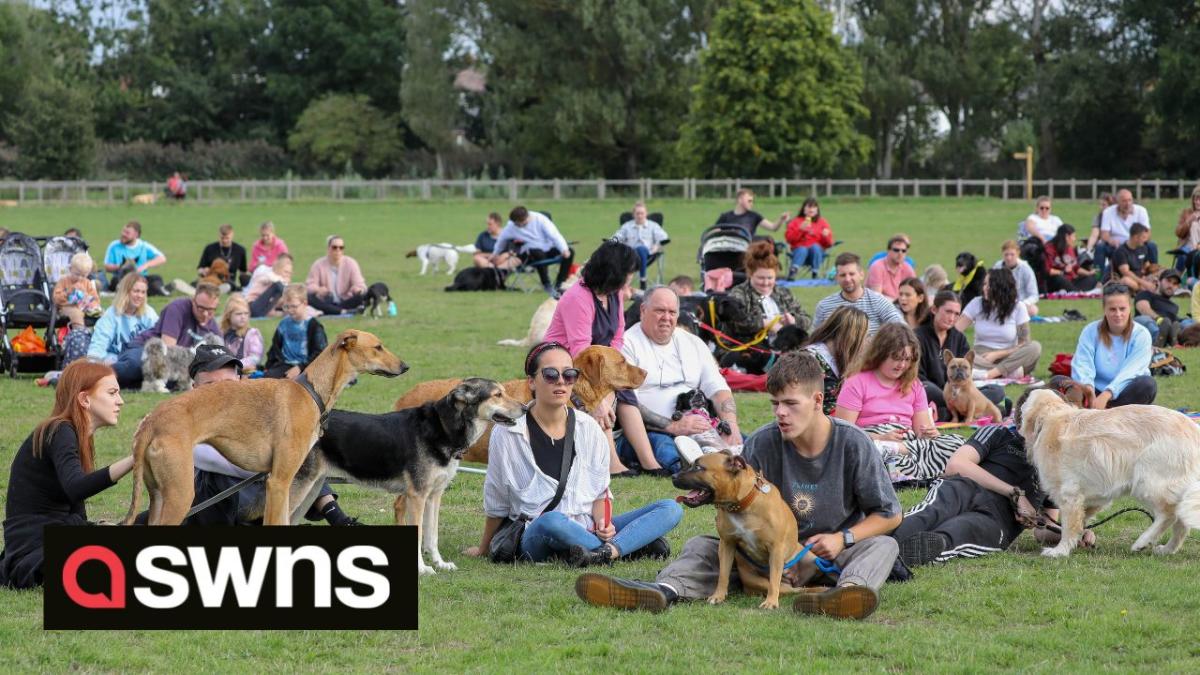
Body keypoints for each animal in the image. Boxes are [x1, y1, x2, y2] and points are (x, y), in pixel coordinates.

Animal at [123, 329, 408, 523]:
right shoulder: (278, 483)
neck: (310, 391)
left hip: (159, 496)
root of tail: (151, 420)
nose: (405, 366)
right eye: (378, 346)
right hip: (180, 495)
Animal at [312, 374, 523, 569]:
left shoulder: (434, 495)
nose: (525, 408)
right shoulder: (418, 496)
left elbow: (432, 536)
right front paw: (422, 569)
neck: (443, 428)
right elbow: (420, 533)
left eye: (504, 392)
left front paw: (440, 564)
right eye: (497, 395)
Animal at [672, 449, 820, 607]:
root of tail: (792, 580)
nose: (673, 476)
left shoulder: (776, 548)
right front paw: (718, 595)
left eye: (698, 467)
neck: (741, 505)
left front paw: (771, 602)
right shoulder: (726, 545)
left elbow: (774, 579)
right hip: (755, 579)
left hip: (811, 559)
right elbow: (723, 574)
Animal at [1017, 389, 1200, 557]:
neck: (1051, 416)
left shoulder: (1068, 494)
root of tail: (1194, 429)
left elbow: (1069, 526)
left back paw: (1142, 542)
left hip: (1146, 481)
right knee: (1181, 522)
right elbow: (1080, 520)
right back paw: (1167, 549)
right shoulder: (1094, 497)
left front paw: (1059, 551)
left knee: (1169, 514)